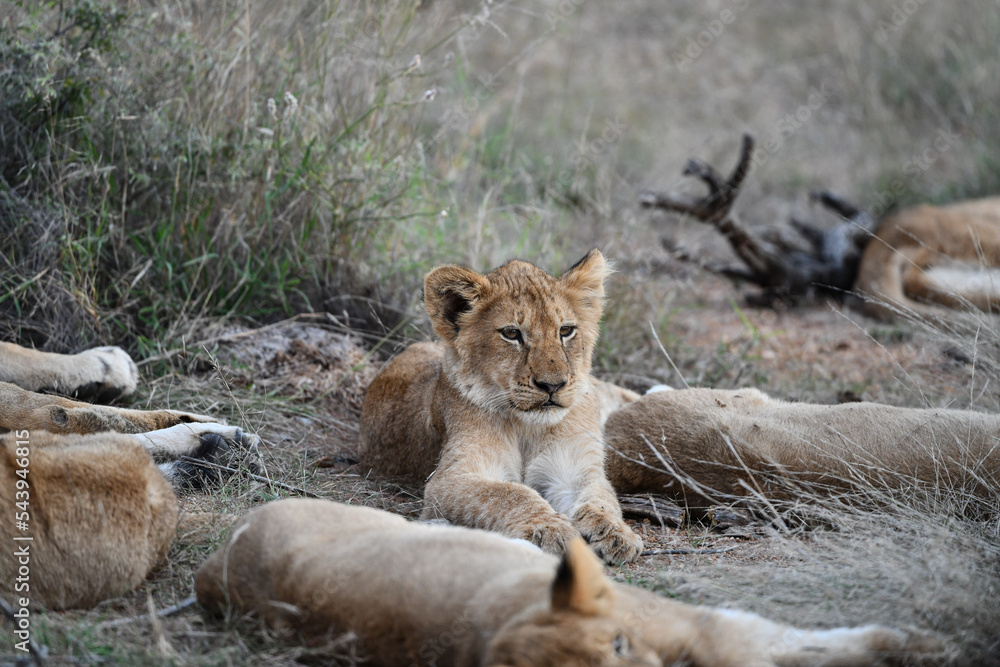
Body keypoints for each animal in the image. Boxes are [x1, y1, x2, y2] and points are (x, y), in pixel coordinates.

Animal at [359, 250, 643, 563]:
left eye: (566, 330)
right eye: (511, 333)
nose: (552, 386)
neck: (527, 427)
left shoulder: (575, 471)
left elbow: (600, 498)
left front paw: (615, 533)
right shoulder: (448, 479)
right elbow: (511, 494)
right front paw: (551, 529)